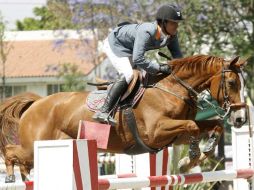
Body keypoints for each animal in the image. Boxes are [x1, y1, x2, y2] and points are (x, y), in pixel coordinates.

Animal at [0, 53, 247, 183]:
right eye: (232, 83)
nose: (240, 119)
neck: (172, 88)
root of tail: (35, 103)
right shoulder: (157, 132)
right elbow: (193, 126)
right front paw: (193, 157)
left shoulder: (175, 136)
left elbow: (213, 126)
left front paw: (194, 158)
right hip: (35, 146)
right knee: (12, 152)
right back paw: (13, 177)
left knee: (23, 161)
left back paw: (25, 179)